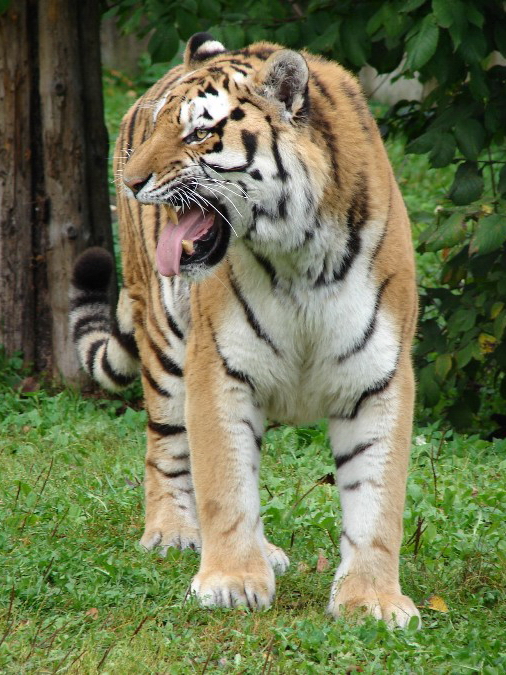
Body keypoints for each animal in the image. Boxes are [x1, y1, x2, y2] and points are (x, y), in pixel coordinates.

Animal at [69, 32, 420, 627]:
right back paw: (173, 532)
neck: (302, 256)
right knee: (165, 449)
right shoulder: (218, 368)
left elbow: (377, 501)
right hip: (164, 342)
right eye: (163, 127)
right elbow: (225, 487)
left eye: (200, 132)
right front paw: (231, 581)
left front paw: (371, 600)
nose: (131, 181)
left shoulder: (380, 377)